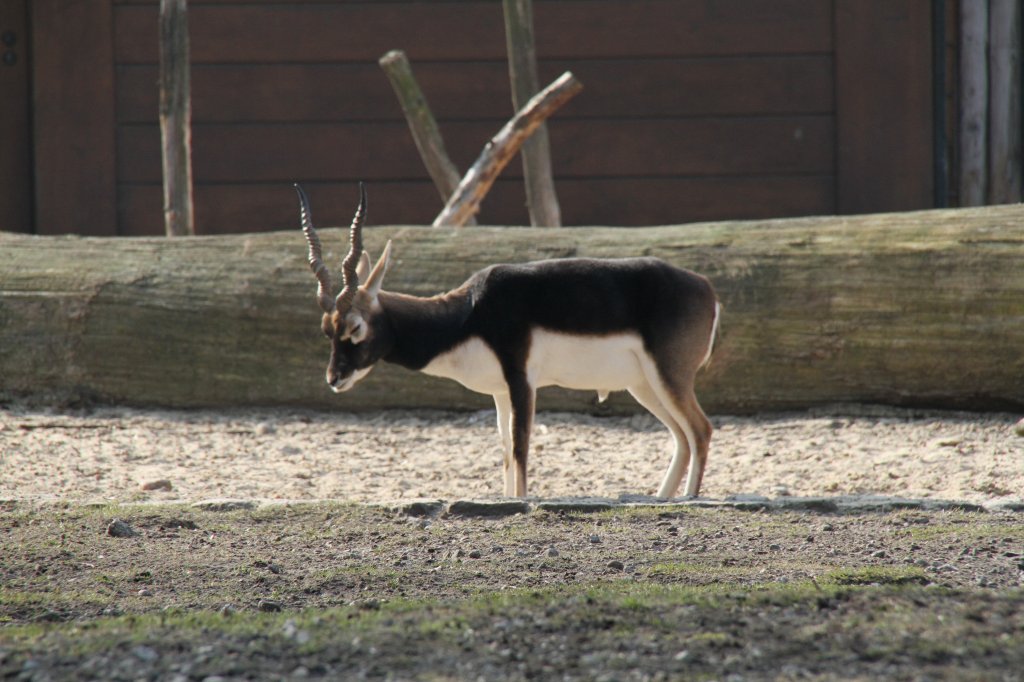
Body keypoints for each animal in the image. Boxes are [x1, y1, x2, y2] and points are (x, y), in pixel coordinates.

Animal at [299, 183, 720, 497]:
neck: (469, 314)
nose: (334, 378)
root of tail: (706, 289)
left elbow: (520, 447)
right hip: (644, 385)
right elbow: (503, 451)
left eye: (355, 328)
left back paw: (689, 500)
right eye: (326, 329)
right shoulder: (499, 392)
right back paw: (662, 499)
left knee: (700, 430)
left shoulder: (522, 381)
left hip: (668, 377)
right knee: (682, 437)